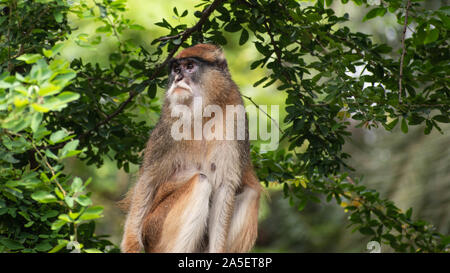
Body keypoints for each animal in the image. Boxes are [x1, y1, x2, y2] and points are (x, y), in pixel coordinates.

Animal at [120, 43, 260, 252]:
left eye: (190, 66)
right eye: (176, 69)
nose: (178, 78)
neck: (204, 113)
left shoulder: (235, 115)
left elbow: (225, 186)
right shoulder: (168, 121)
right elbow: (148, 179)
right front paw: (131, 245)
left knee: (250, 193)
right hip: (154, 228)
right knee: (200, 182)